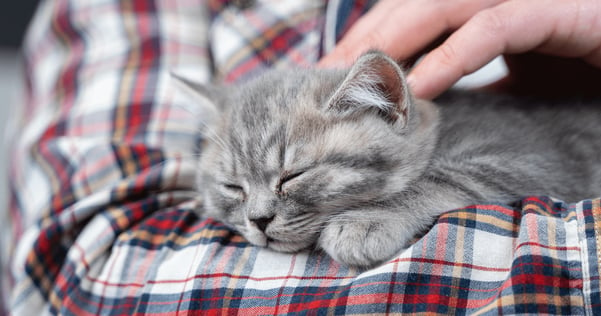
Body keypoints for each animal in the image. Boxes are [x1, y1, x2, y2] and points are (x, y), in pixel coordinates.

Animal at [176, 51, 600, 266]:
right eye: (233, 187)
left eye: (294, 176)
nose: (259, 221)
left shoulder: (538, 159)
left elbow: (445, 177)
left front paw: (367, 220)